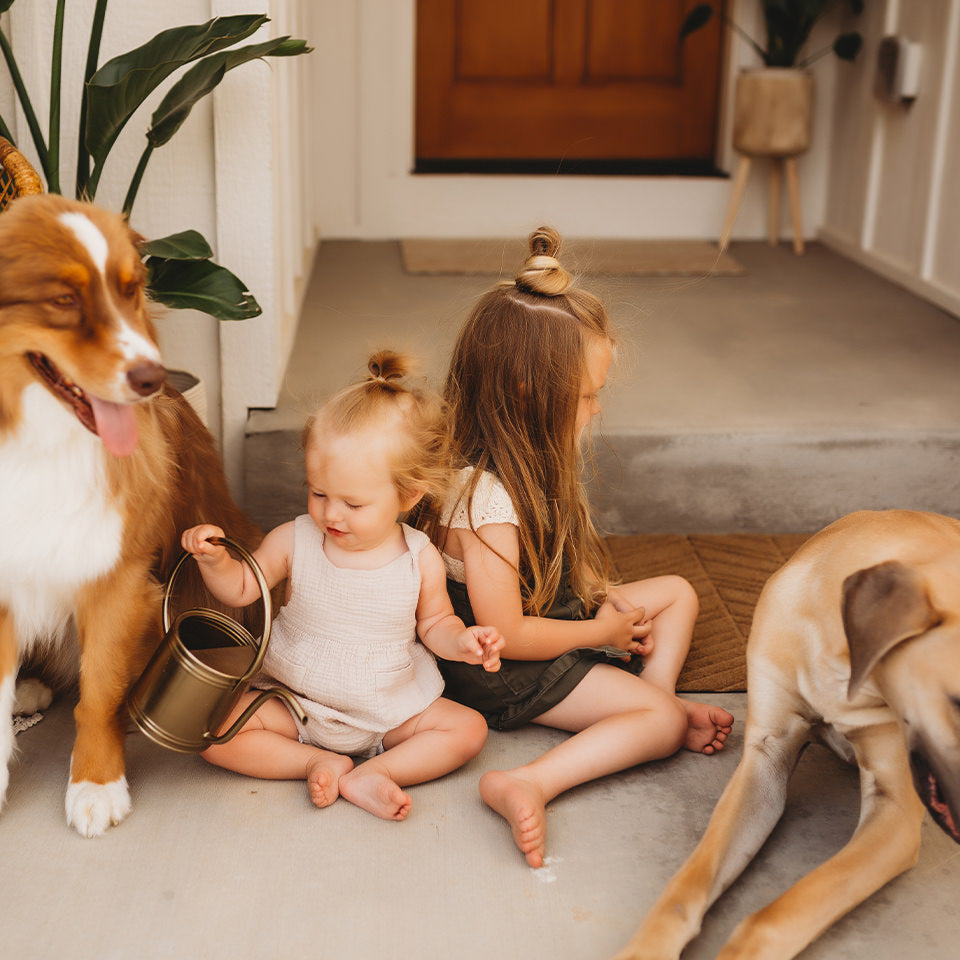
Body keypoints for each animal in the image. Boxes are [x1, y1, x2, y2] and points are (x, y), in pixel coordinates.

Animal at [0, 193, 262, 832]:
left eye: (129, 290)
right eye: (63, 300)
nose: (153, 378)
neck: (36, 443)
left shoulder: (119, 580)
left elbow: (98, 693)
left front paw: (95, 784)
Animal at [616, 510, 960, 960]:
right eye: (957, 701)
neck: (840, 664)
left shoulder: (895, 809)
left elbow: (773, 919)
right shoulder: (765, 761)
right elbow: (686, 886)